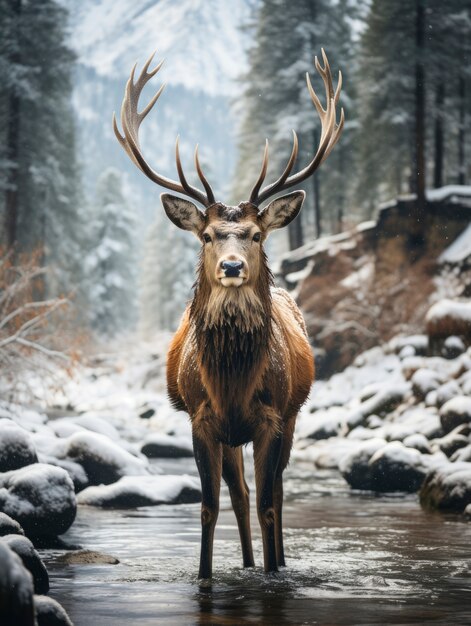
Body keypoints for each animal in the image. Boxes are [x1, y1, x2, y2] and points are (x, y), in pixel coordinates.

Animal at [114, 48, 342, 576]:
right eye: (207, 235)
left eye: (256, 235)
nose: (233, 266)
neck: (233, 382)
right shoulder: (200, 418)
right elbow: (210, 506)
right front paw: (204, 574)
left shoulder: (272, 417)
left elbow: (269, 505)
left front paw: (276, 571)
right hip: (229, 436)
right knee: (238, 496)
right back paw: (247, 563)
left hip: (290, 416)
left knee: (273, 492)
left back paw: (273, 560)